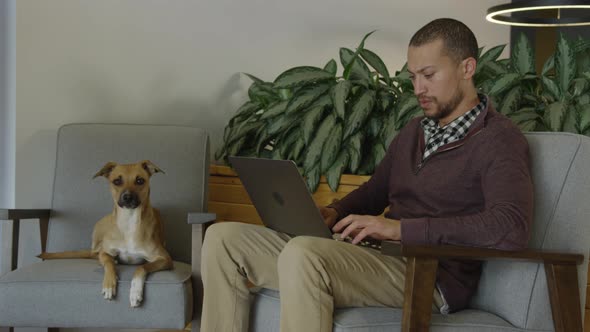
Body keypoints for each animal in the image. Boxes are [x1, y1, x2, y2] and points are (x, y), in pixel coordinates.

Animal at [38, 160, 173, 308]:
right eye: (117, 181)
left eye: (140, 180)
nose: (127, 197)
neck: (129, 221)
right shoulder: (105, 252)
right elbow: (108, 262)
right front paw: (109, 284)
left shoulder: (165, 259)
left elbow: (142, 267)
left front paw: (135, 291)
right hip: (99, 232)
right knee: (95, 254)